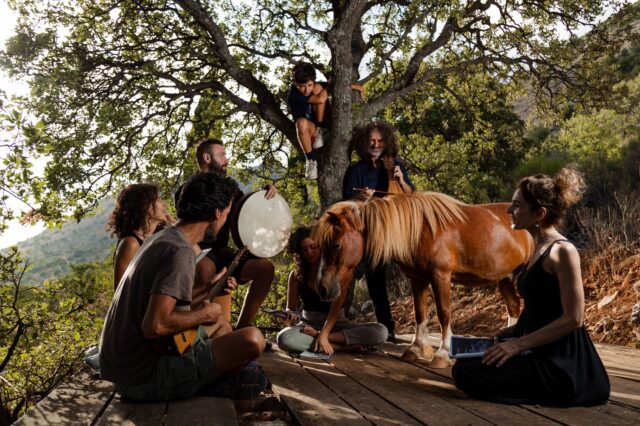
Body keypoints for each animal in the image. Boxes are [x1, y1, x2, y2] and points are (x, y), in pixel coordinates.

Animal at [312, 191, 532, 368]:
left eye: (337, 244)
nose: (322, 288)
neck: (420, 231)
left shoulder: (441, 276)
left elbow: (443, 313)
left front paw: (443, 354)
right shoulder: (417, 279)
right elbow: (420, 312)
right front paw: (417, 348)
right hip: (504, 278)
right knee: (513, 306)